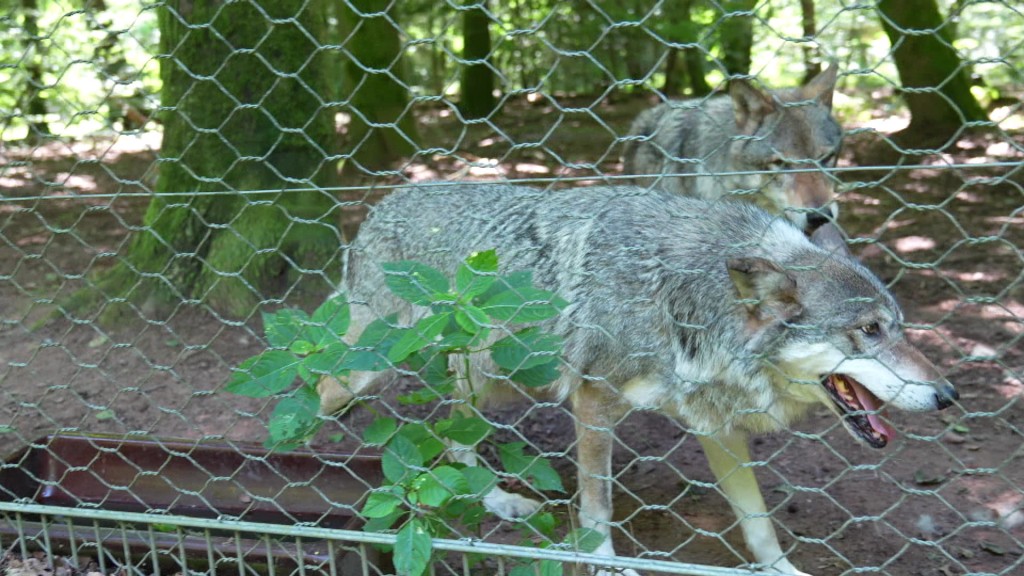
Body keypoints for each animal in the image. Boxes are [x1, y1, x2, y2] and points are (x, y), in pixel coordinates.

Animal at [317, 181, 950, 569]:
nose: (948, 394)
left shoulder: (717, 426)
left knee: (454, 439)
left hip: (485, 382)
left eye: (898, 327)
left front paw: (783, 571)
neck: (691, 305)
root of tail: (383, 202)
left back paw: (498, 502)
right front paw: (605, 567)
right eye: (868, 331)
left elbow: (759, 524)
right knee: (321, 390)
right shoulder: (593, 402)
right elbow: (598, 511)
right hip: (378, 367)